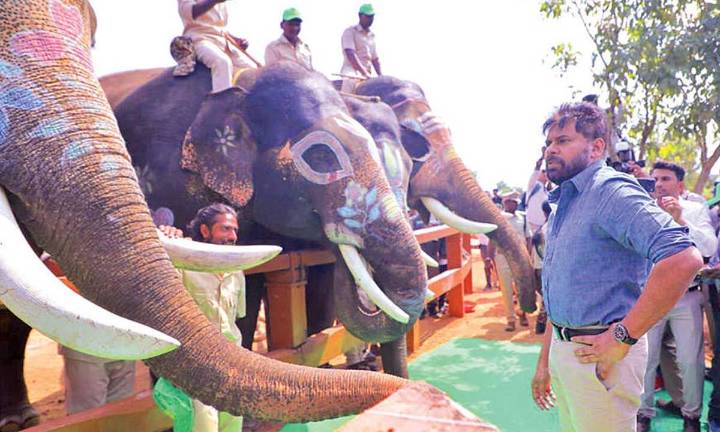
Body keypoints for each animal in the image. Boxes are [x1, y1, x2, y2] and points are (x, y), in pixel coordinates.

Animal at [0, 0, 434, 425]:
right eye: (321, 156)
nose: (408, 389)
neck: (244, 85)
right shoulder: (167, 175)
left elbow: (288, 282)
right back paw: (20, 416)